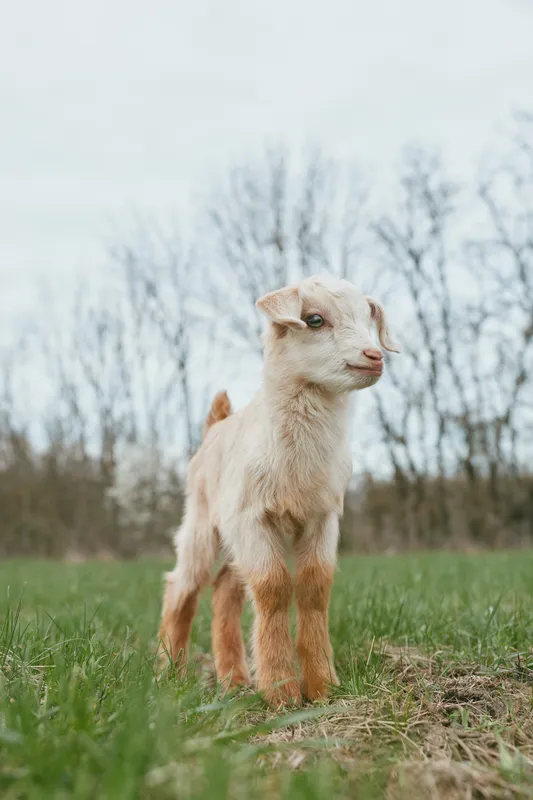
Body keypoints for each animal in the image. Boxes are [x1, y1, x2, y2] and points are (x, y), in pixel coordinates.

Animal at [158, 275, 400, 706]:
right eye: (314, 319)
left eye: (367, 318)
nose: (374, 356)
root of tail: (217, 424)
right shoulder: (254, 516)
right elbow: (273, 588)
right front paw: (280, 692)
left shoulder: (323, 516)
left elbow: (314, 586)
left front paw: (322, 687)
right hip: (203, 521)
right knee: (182, 587)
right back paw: (170, 673)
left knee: (225, 589)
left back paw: (234, 680)